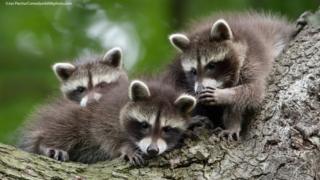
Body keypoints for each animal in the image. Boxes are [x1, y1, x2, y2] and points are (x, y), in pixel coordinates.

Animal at [19, 79, 198, 165]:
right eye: (144, 125)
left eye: (167, 129)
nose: (152, 150)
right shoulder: (107, 114)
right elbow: (106, 134)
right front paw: (126, 148)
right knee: (67, 126)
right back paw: (44, 144)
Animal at [168, 11, 296, 141]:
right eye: (193, 71)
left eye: (211, 65)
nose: (198, 90)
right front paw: (232, 124)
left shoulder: (252, 61)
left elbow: (253, 91)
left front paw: (225, 95)